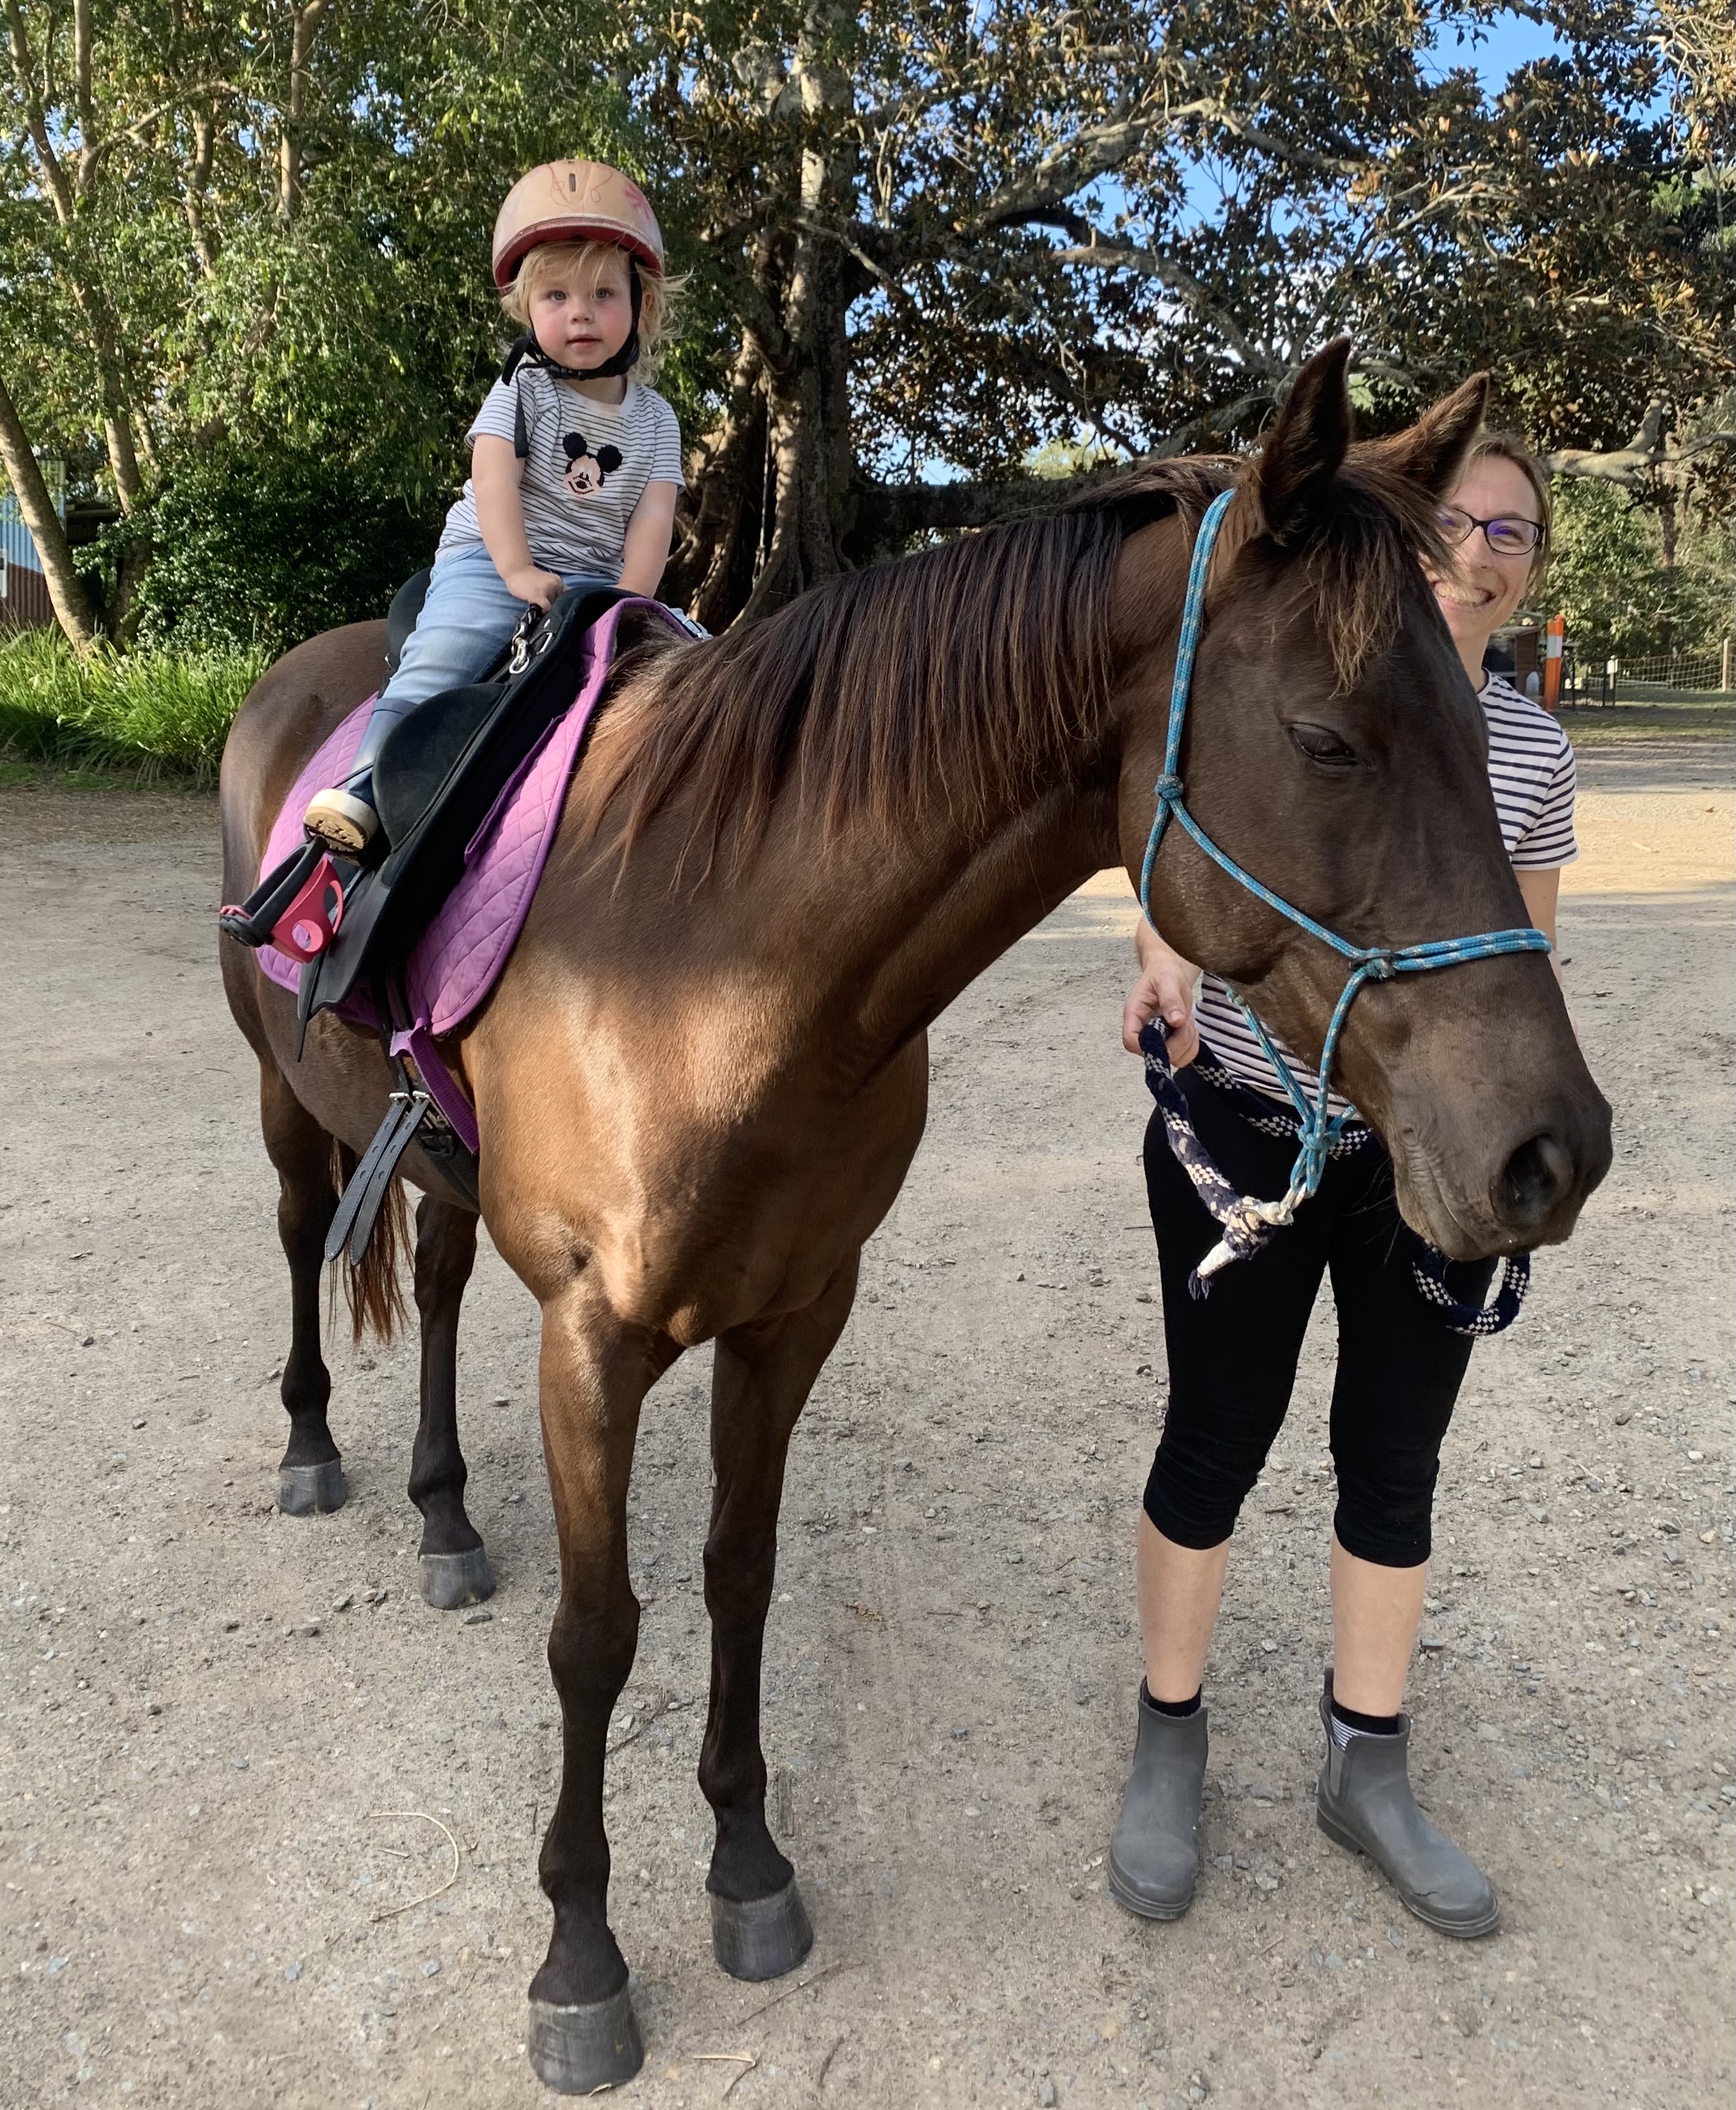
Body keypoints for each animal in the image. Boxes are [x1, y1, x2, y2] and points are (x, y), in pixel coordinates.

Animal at [217, 341, 1610, 2090]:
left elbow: (739, 1579)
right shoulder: (595, 1338)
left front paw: (747, 1869)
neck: (711, 956)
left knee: (442, 1272)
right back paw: (311, 1450)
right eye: (1328, 739)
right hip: (284, 1108)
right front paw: (580, 1959)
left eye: (1479, 725)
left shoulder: (792, 1313)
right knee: (295, 1241)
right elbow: (597, 1637)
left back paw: (447, 1515)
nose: (1553, 1149)